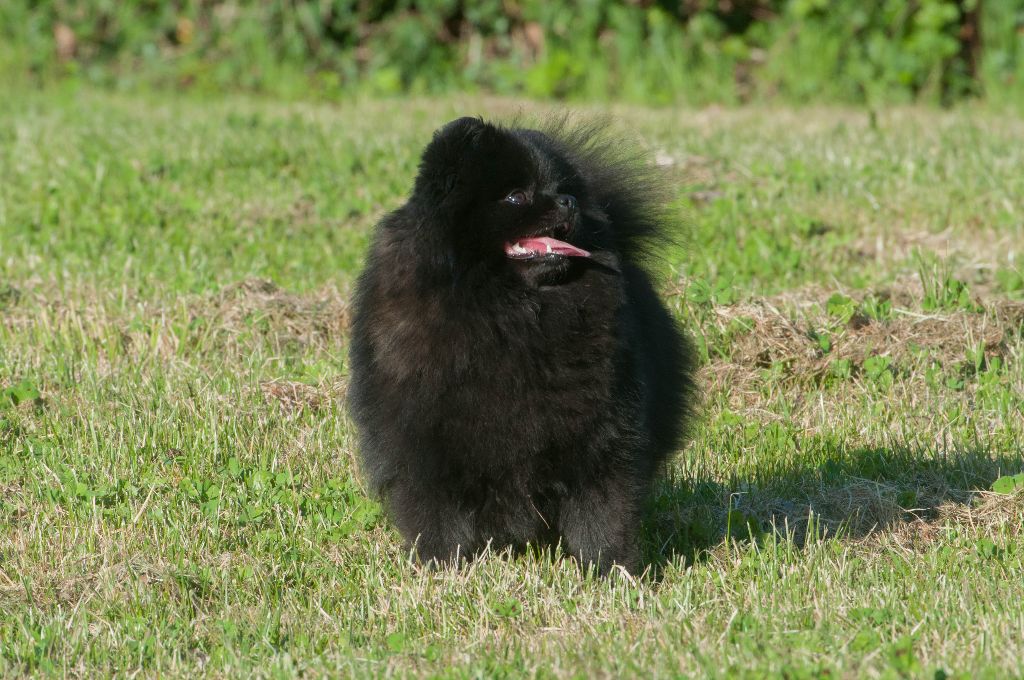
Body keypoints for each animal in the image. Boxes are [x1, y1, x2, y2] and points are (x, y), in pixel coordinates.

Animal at [350, 116, 696, 573]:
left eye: (560, 189)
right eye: (516, 196)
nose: (568, 200)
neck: (511, 313)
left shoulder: (604, 433)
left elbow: (605, 511)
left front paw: (612, 569)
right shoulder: (424, 438)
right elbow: (436, 514)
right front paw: (442, 568)